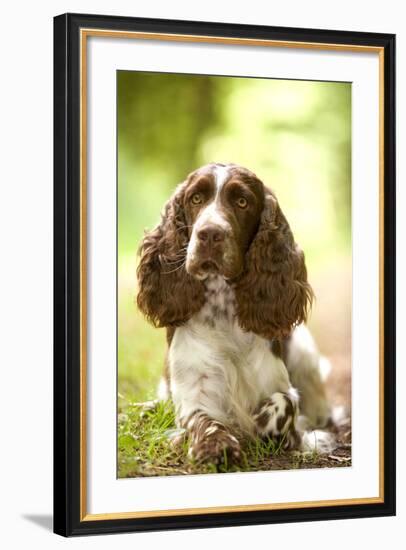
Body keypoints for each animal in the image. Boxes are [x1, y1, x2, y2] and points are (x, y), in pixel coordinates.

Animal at [136, 164, 334, 466]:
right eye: (195, 199)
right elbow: (202, 420)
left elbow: (286, 403)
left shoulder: (278, 385)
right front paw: (216, 446)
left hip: (305, 352)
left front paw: (261, 422)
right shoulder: (194, 391)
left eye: (242, 202)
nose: (209, 234)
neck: (225, 312)